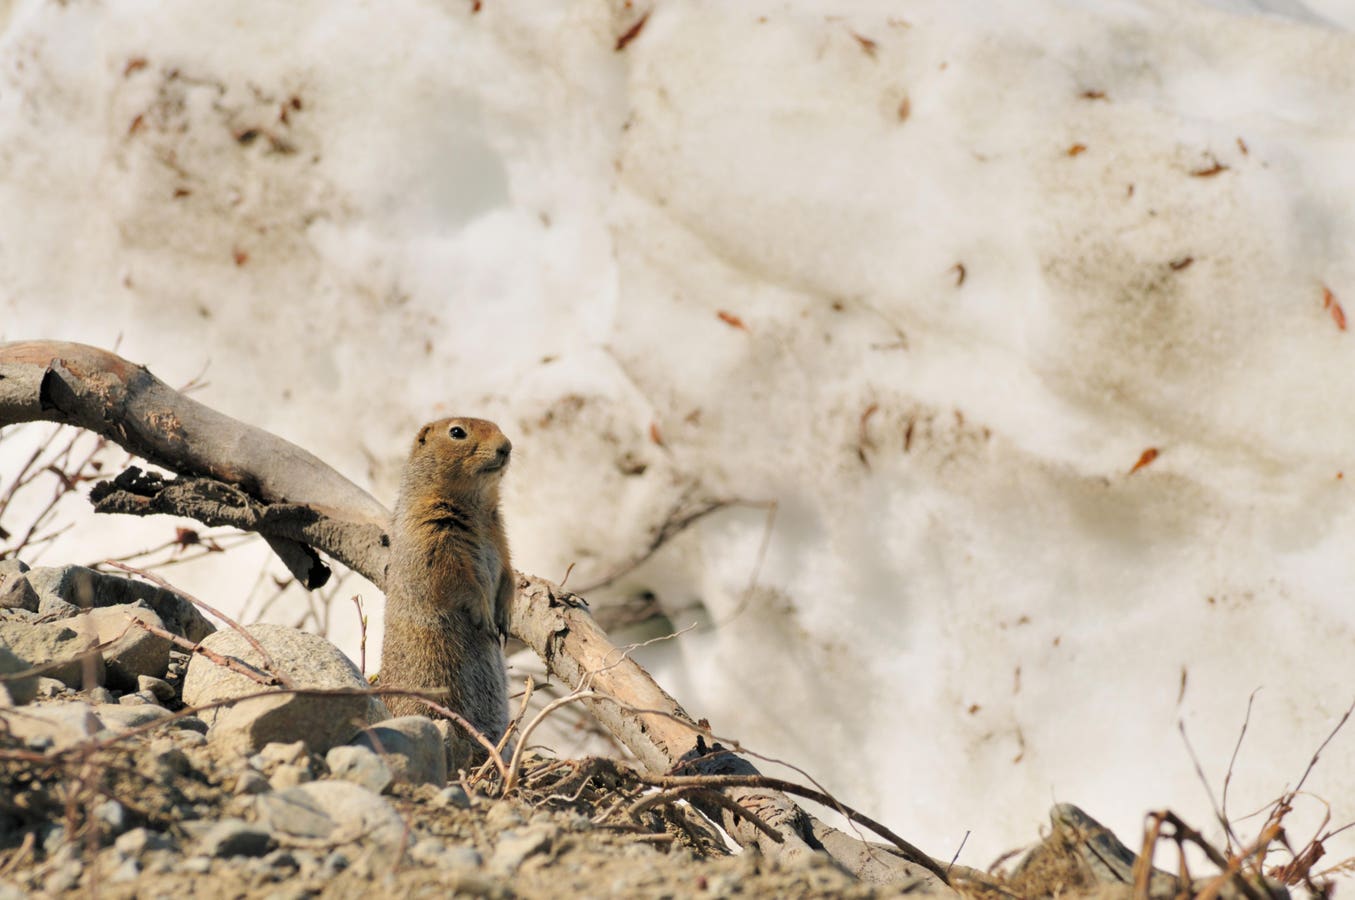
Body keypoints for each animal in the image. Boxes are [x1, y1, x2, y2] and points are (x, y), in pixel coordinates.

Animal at [379, 417, 514, 747]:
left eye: (497, 425)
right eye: (456, 432)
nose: (506, 446)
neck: (477, 505)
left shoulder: (500, 535)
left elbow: (509, 572)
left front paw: (505, 617)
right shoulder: (432, 534)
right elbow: (458, 580)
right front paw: (486, 616)